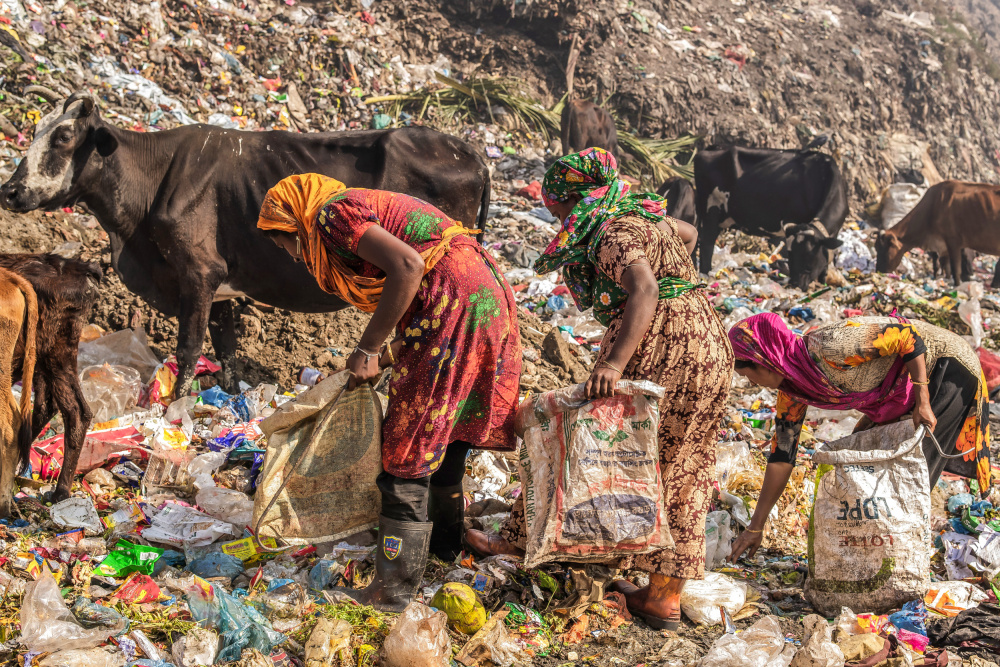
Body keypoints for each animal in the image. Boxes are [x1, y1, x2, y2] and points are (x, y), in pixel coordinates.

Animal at [0, 86, 492, 394]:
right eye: (37, 130)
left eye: (64, 135)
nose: (11, 190)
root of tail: (471, 152)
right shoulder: (218, 288)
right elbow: (227, 353)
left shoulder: (198, 273)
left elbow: (188, 349)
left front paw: (174, 407)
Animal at [692, 147, 848, 288]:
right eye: (792, 255)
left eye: (808, 261)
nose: (795, 284)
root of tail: (705, 152)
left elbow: (829, 254)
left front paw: (823, 280)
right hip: (711, 211)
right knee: (707, 244)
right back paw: (706, 275)